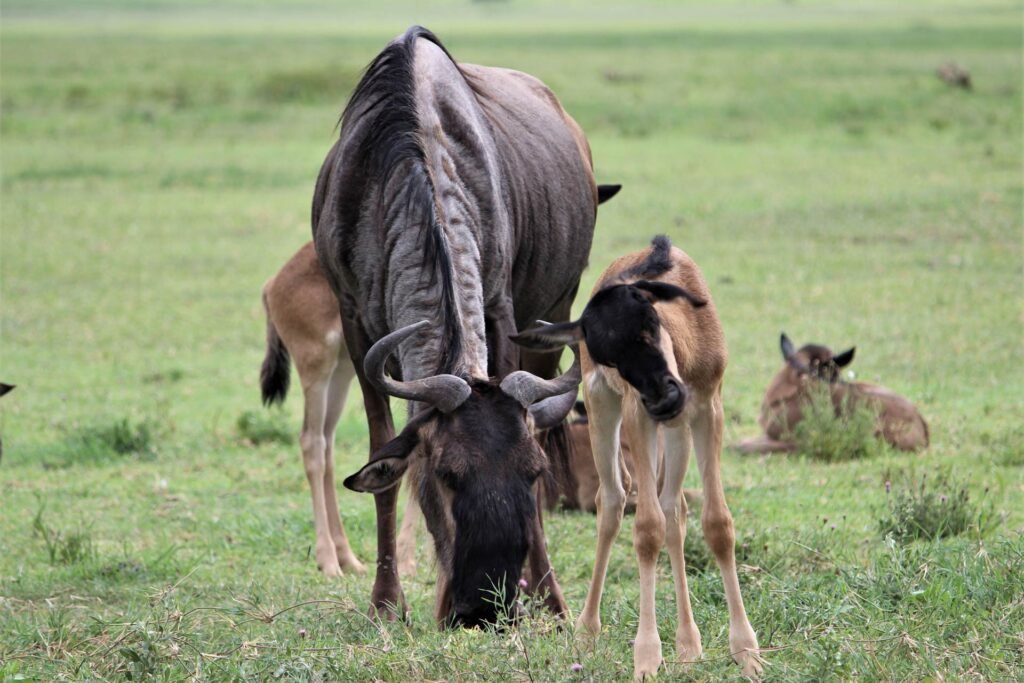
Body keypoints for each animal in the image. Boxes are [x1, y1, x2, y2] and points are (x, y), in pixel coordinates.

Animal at [512, 236, 761, 679]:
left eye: (650, 323)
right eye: (609, 355)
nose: (663, 398)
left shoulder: (708, 407)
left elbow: (716, 523)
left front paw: (746, 652)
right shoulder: (636, 413)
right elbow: (646, 528)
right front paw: (647, 657)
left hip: (677, 431)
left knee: (674, 508)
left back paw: (688, 643)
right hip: (604, 409)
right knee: (612, 503)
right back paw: (587, 631)